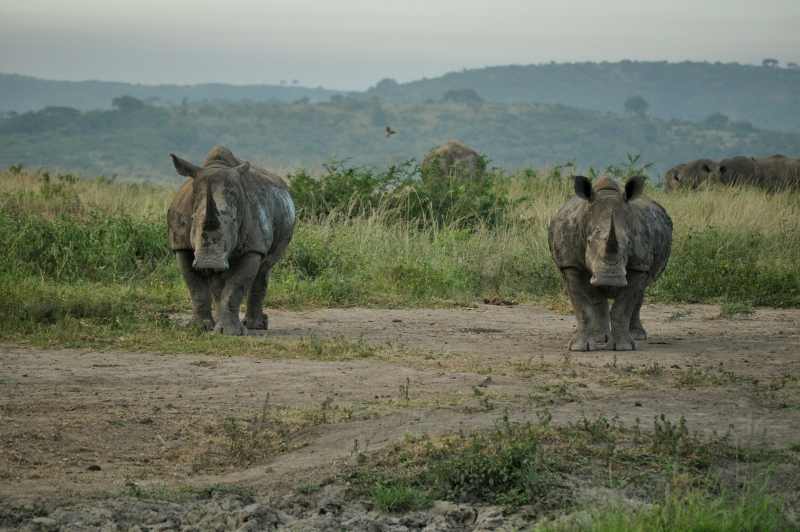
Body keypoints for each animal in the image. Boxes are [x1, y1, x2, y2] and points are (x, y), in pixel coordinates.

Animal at [167, 146, 296, 335]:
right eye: (192, 219)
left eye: (234, 222)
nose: (208, 262)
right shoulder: (181, 245)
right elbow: (195, 287)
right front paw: (199, 327)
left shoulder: (253, 247)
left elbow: (236, 286)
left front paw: (230, 332)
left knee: (264, 268)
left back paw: (255, 325)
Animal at [548, 176, 673, 351]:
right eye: (588, 242)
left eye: (629, 242)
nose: (610, 278)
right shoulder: (570, 264)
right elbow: (583, 306)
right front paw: (579, 347)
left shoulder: (639, 266)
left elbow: (623, 307)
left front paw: (624, 347)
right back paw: (600, 338)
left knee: (640, 292)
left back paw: (637, 336)